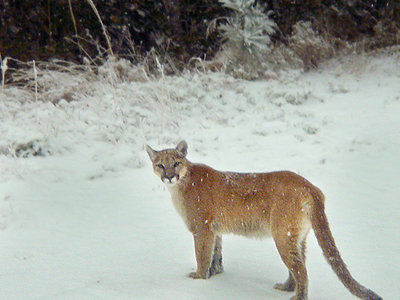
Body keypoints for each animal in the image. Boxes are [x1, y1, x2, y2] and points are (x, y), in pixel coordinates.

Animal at [146, 141, 382, 300]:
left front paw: (198, 280)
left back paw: (297, 296)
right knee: (300, 264)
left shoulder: (203, 229)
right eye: (160, 165)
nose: (169, 176)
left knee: (301, 269)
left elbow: (202, 255)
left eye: (176, 163)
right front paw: (215, 275)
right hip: (296, 236)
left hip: (282, 235)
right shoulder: (215, 230)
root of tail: (310, 186)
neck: (181, 185)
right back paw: (287, 287)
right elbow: (216, 255)